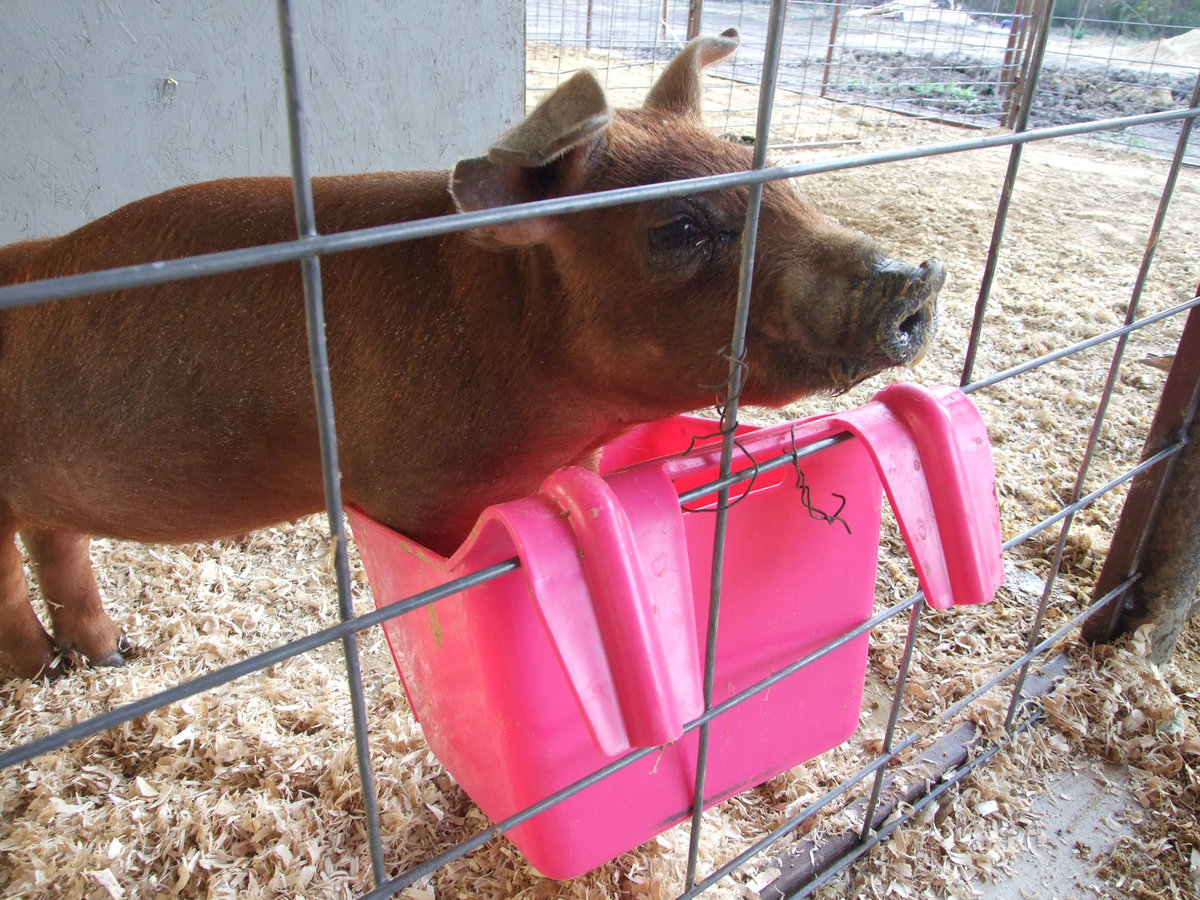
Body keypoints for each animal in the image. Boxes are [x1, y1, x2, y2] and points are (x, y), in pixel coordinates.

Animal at [0, 28, 945, 681]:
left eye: (774, 179)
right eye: (679, 229)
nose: (914, 278)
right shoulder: (424, 495)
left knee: (56, 542)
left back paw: (111, 655)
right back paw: (45, 671)